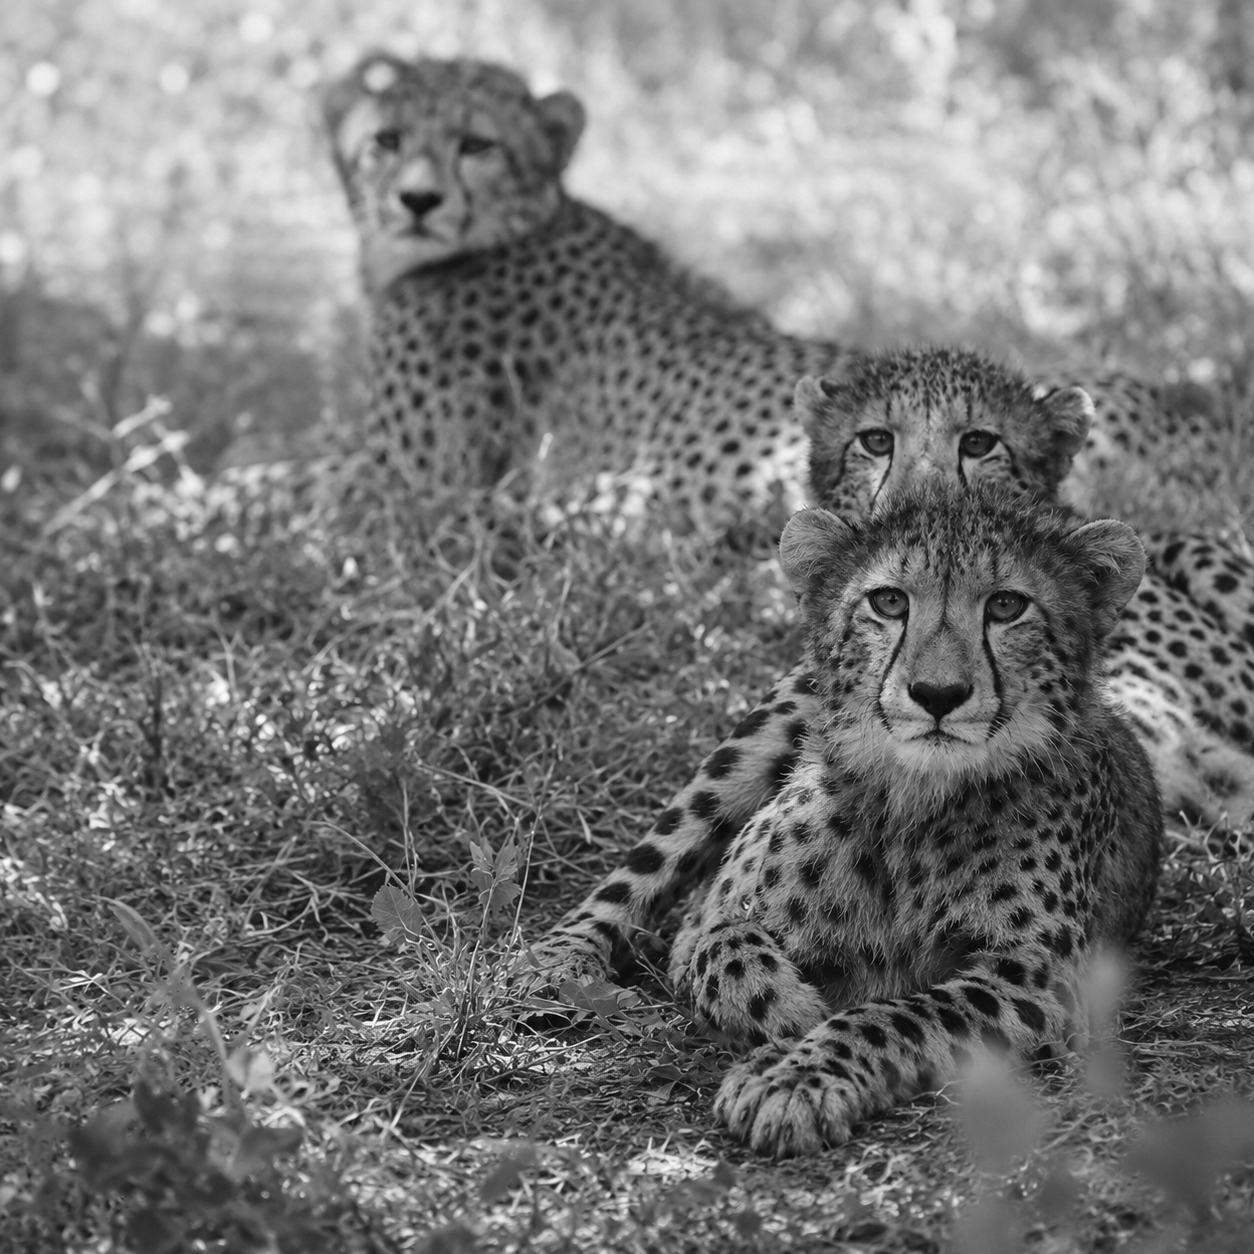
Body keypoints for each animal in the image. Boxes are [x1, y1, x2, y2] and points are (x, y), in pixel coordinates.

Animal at [668, 477, 1163, 1156]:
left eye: (1006, 605)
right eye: (888, 601)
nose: (937, 694)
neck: (915, 803)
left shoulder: (1040, 979)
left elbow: (892, 1016)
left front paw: (794, 1075)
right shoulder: (698, 923)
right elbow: (719, 945)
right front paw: (791, 1016)